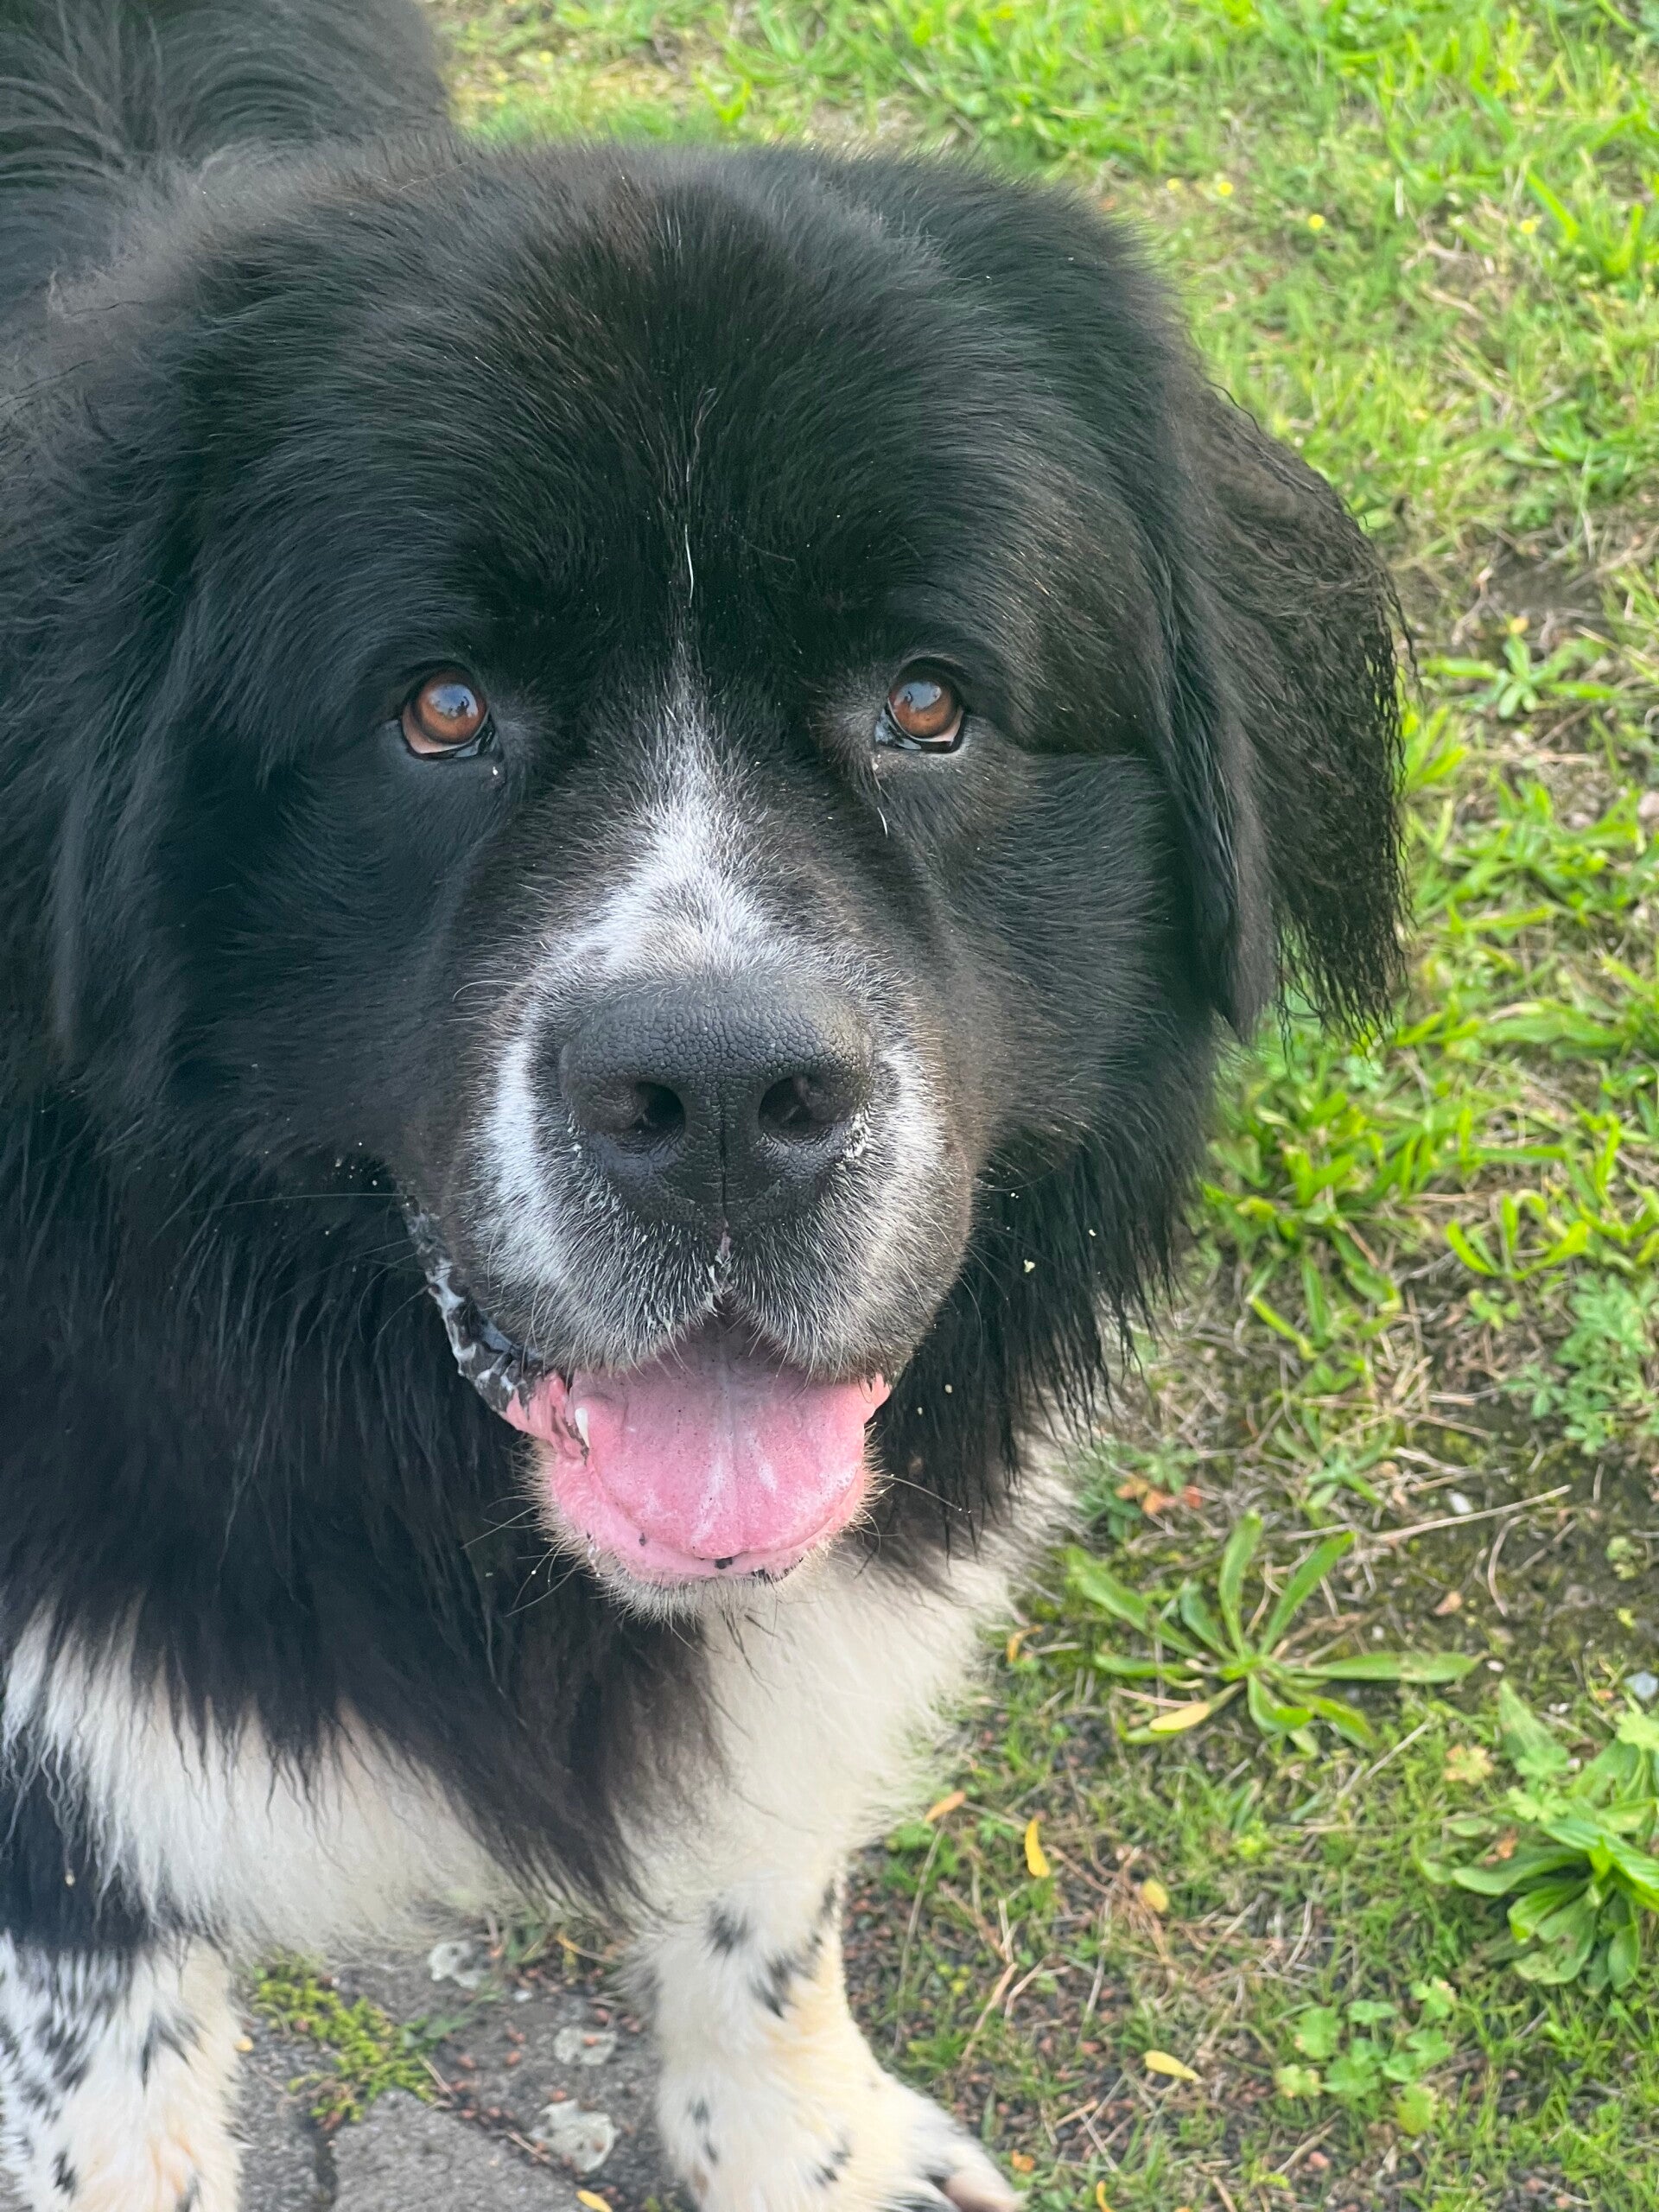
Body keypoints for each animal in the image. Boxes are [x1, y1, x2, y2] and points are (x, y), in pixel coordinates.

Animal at [0, 2, 1404, 2204]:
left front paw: (807, 2138)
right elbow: (105, 2090)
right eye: (440, 708)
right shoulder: (71, 1753)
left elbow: (770, 1858)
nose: (728, 1088)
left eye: (928, 703)